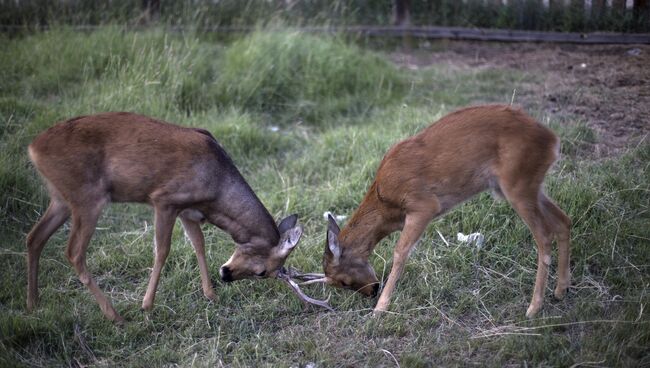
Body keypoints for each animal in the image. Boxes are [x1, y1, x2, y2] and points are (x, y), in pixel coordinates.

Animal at [25, 112, 330, 322]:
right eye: (262, 272)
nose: (226, 275)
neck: (216, 184)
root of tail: (33, 148)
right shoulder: (164, 200)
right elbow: (162, 250)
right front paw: (147, 305)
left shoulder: (188, 212)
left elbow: (199, 245)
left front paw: (210, 295)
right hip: (88, 200)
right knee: (74, 252)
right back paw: (115, 316)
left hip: (61, 199)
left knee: (34, 237)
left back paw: (34, 303)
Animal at [294, 105, 572, 318]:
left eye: (342, 280)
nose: (372, 290)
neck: (385, 201)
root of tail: (553, 140)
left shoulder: (423, 206)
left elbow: (400, 252)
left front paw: (380, 309)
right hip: (530, 187)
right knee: (563, 221)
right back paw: (560, 290)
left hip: (518, 186)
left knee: (544, 236)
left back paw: (533, 308)